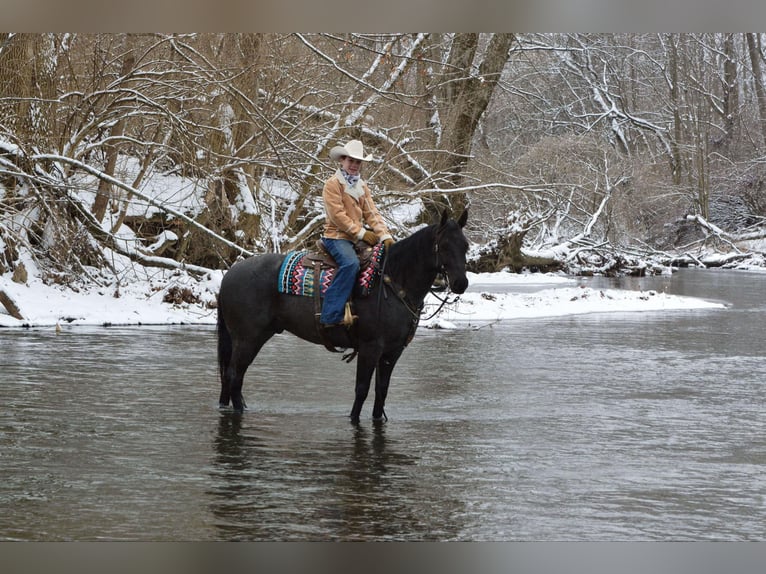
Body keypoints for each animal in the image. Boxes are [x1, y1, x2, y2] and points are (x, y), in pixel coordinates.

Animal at [214, 209, 468, 426]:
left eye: (465, 245)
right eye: (444, 245)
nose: (461, 284)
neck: (392, 281)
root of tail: (229, 274)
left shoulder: (392, 352)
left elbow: (381, 391)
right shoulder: (370, 348)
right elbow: (362, 389)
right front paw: (353, 420)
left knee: (231, 378)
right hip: (248, 339)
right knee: (234, 375)